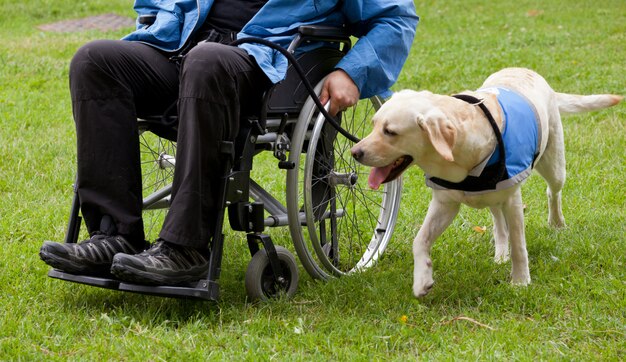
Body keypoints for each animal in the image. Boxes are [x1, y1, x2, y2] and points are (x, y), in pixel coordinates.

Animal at [352, 68, 620, 296]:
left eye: (390, 132)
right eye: (374, 124)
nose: (354, 152)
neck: (459, 155)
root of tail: (527, 70)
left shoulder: (513, 200)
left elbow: (519, 245)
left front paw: (520, 281)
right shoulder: (445, 203)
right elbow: (420, 240)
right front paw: (422, 279)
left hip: (554, 166)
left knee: (552, 192)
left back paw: (556, 223)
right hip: (493, 194)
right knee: (498, 223)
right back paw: (501, 253)